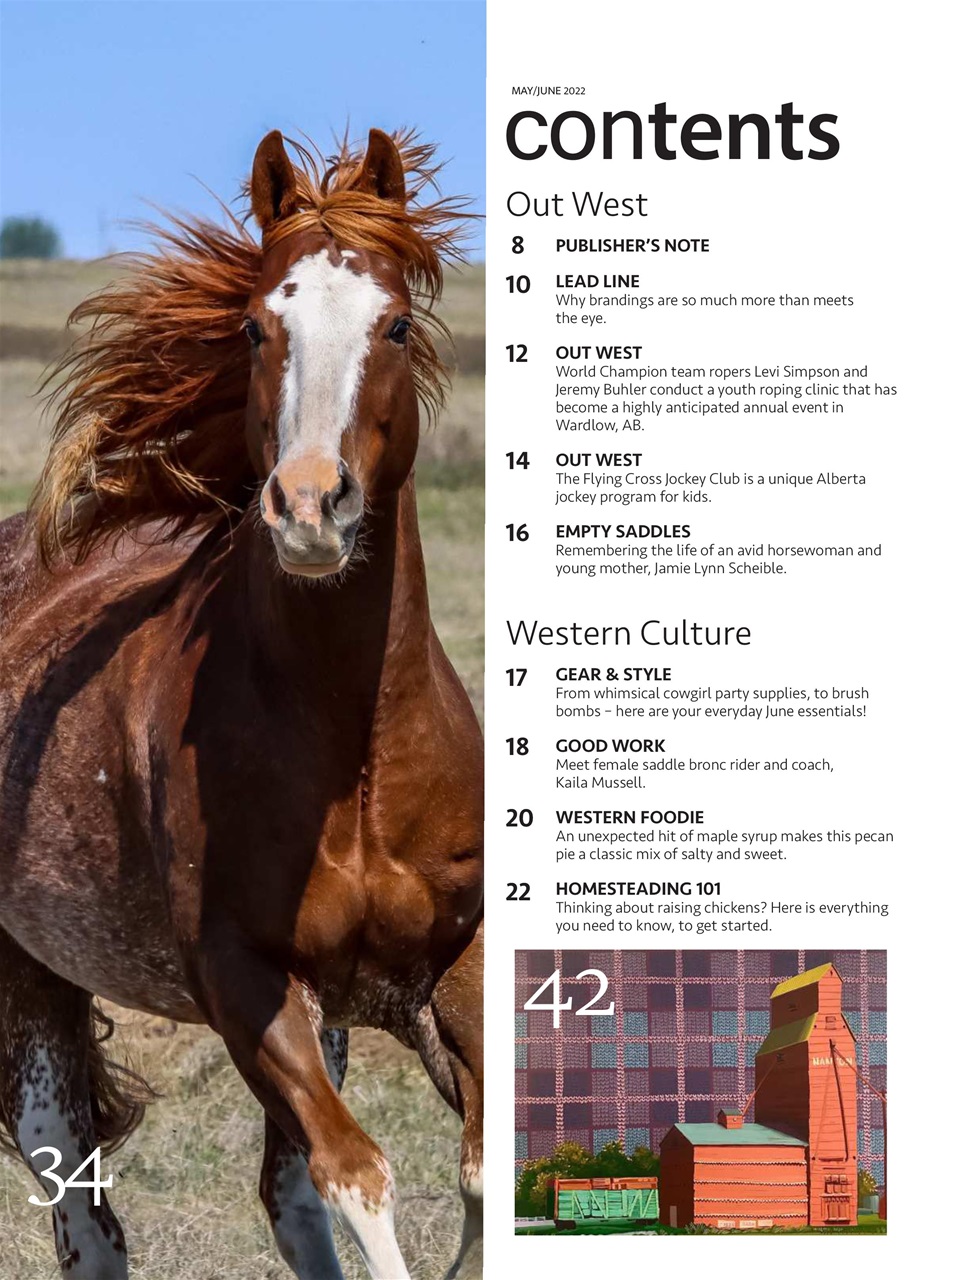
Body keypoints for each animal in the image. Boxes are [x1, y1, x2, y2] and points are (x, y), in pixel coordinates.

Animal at [0, 128, 483, 1280]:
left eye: (395, 323)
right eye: (257, 326)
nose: (309, 506)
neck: (354, 754)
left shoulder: (453, 963)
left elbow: (484, 1168)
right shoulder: (244, 980)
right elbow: (361, 1176)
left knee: (283, 1194)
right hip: (31, 986)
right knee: (83, 1210)